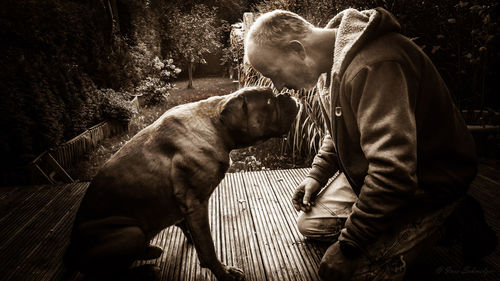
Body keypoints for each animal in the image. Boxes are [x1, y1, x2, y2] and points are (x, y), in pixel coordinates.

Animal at [64, 86, 298, 278]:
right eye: (268, 102)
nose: (287, 94)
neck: (215, 124)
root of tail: (72, 255)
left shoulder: (185, 205)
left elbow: (192, 231)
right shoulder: (195, 202)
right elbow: (208, 247)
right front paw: (224, 272)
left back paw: (149, 251)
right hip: (132, 232)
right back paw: (147, 270)